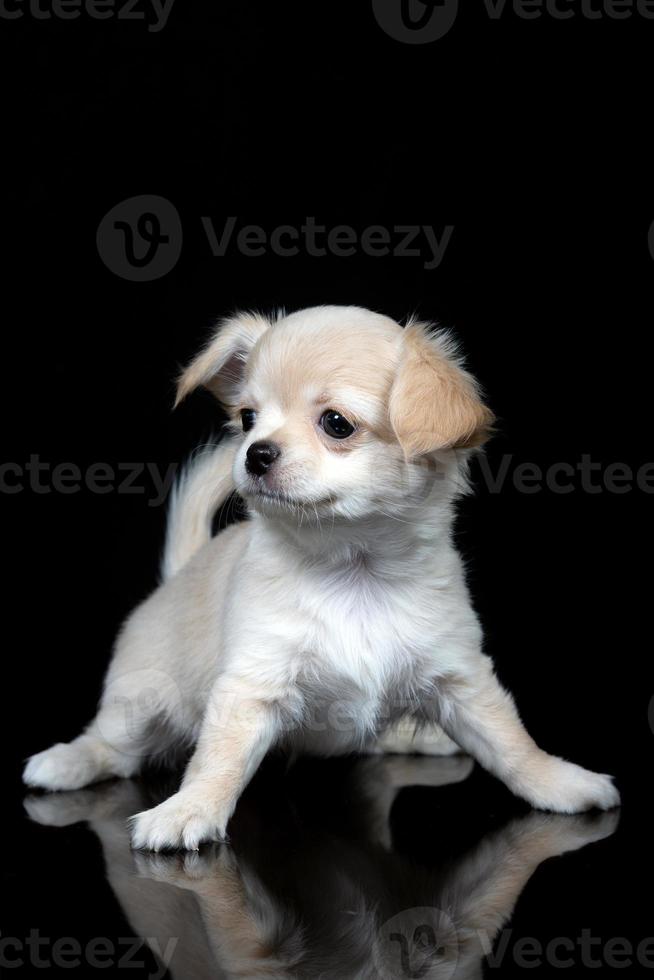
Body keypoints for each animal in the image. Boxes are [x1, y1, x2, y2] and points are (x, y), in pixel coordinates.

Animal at [24, 308, 620, 848]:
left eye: (336, 423)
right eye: (247, 418)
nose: (255, 453)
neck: (353, 573)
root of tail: (179, 575)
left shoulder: (462, 677)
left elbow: (511, 743)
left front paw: (561, 783)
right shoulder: (251, 686)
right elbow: (217, 760)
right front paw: (189, 810)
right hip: (140, 699)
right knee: (111, 746)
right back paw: (66, 763)